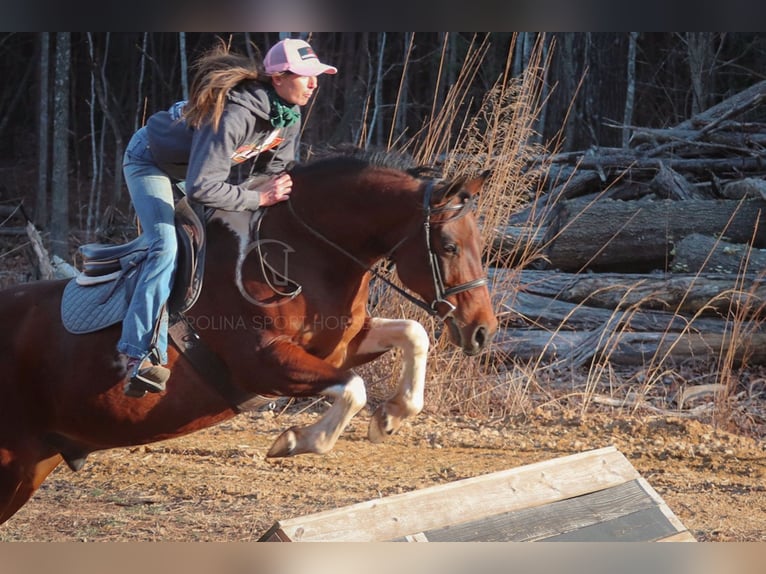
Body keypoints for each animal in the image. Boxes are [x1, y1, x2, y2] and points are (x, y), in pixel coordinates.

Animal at [0, 152, 498, 528]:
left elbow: (414, 335)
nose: (482, 330)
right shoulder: (264, 362)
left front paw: (390, 418)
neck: (302, 255)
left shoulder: (341, 345)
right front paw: (296, 441)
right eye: (449, 246)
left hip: (32, 464)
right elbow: (354, 388)